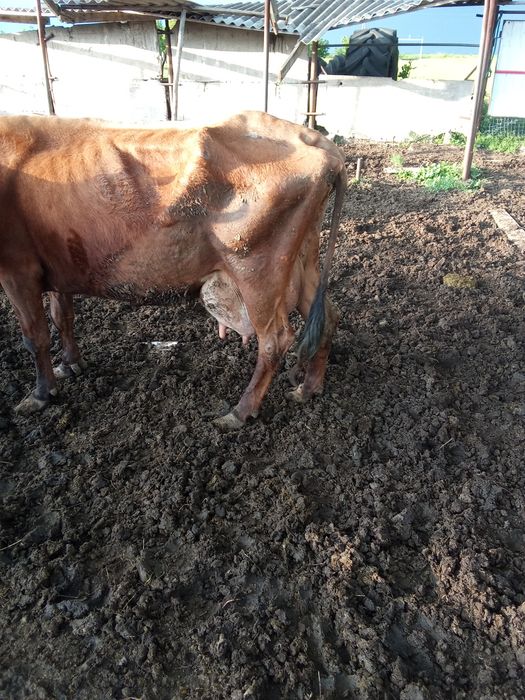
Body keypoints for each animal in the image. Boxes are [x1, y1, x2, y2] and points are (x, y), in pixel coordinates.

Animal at [0, 111, 346, 429]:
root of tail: (320, 144)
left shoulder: (17, 270)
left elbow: (34, 336)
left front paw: (41, 394)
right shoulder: (56, 266)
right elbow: (63, 317)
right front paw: (70, 365)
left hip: (258, 273)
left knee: (275, 341)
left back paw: (239, 411)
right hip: (301, 262)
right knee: (327, 314)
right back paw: (308, 389)